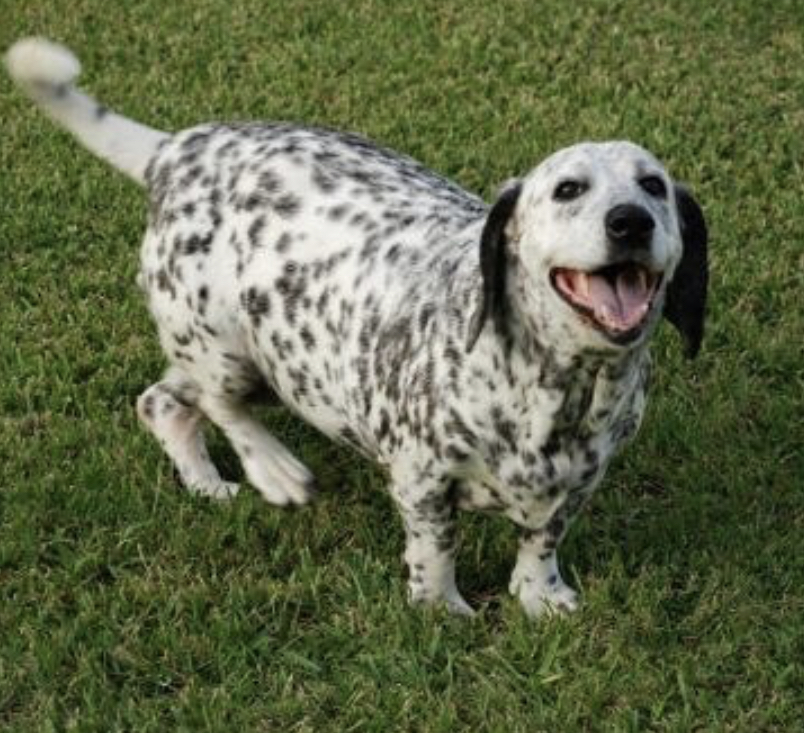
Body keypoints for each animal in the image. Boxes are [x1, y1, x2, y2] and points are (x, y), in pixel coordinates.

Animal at [6, 37, 708, 616]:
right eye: (567, 189)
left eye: (654, 185)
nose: (630, 221)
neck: (561, 388)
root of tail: (176, 150)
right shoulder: (422, 478)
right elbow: (436, 549)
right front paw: (441, 609)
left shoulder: (581, 481)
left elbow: (542, 539)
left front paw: (540, 597)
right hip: (225, 347)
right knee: (220, 403)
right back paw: (272, 467)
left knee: (162, 401)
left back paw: (207, 481)